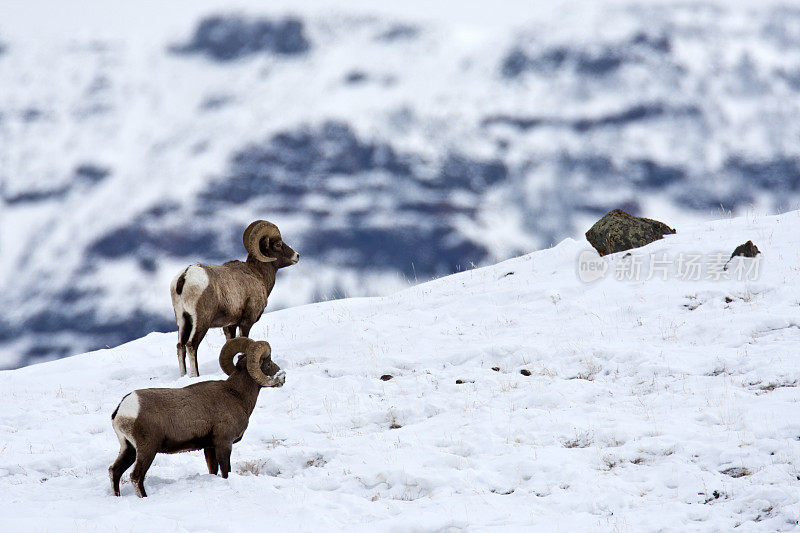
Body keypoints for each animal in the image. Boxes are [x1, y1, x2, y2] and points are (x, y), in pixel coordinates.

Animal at [109, 336, 284, 494]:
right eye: (268, 363)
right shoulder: (224, 443)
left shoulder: (209, 447)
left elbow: (213, 470)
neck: (236, 395)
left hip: (129, 449)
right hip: (147, 449)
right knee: (136, 476)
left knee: (114, 471)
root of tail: (122, 410)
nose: (283, 376)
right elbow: (226, 472)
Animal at [170, 218, 298, 376]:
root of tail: (185, 276)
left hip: (182, 320)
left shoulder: (230, 325)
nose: (297, 256)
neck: (257, 275)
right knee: (191, 345)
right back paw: (195, 376)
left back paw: (184, 376)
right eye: (278, 244)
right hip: (201, 321)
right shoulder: (246, 322)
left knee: (180, 346)